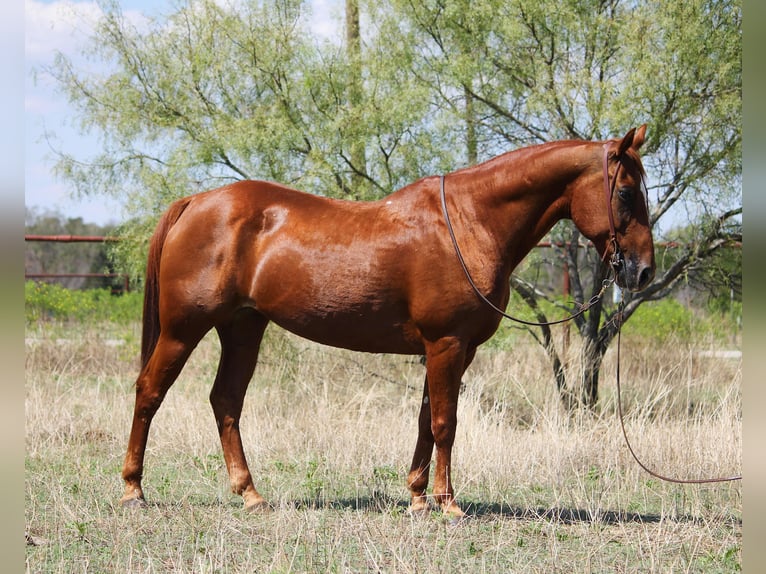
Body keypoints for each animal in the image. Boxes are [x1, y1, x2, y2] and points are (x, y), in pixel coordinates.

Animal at [118, 125, 656, 516]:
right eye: (627, 193)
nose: (643, 271)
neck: (469, 222)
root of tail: (196, 202)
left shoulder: (450, 350)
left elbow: (426, 419)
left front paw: (417, 497)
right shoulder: (446, 343)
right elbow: (445, 422)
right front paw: (448, 504)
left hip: (243, 328)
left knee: (226, 401)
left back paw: (250, 494)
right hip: (183, 330)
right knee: (150, 392)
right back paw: (133, 490)